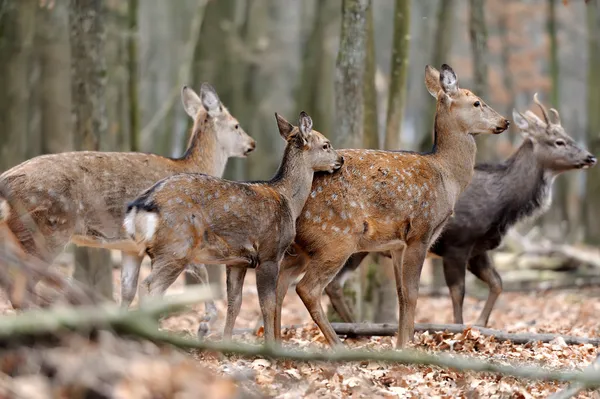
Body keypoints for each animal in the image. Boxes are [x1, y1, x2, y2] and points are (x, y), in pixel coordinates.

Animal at [0, 83, 254, 318]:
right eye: (236, 125)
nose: (252, 144)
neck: (192, 166)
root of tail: (5, 180)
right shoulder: (182, 233)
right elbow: (199, 270)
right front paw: (207, 320)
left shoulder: (130, 247)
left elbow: (127, 291)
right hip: (44, 230)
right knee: (22, 286)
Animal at [123, 111, 342, 344]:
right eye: (326, 145)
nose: (341, 159)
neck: (288, 201)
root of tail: (141, 206)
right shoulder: (269, 253)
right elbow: (267, 304)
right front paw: (270, 346)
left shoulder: (237, 261)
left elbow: (234, 304)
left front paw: (226, 344)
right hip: (176, 247)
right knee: (150, 287)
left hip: (147, 251)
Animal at [318, 94, 596, 328]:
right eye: (558, 141)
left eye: (567, 135)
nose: (590, 157)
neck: (502, 206)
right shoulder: (457, 244)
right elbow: (458, 293)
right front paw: (460, 328)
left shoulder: (478, 249)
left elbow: (497, 283)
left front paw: (481, 324)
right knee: (330, 284)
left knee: (333, 285)